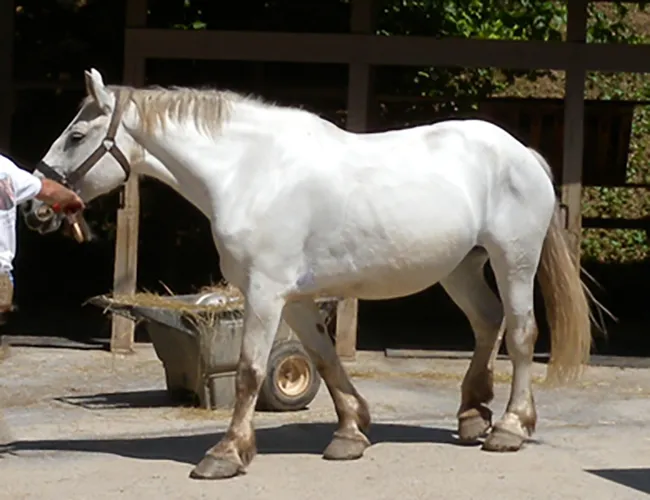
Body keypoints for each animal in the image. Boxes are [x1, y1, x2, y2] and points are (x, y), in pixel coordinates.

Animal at [22, 67, 592, 480]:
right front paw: (350, 433)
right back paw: (473, 416)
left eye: (76, 135)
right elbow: (324, 358)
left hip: (513, 260)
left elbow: (251, 371)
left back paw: (509, 428)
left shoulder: (265, 294)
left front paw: (226, 454)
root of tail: (523, 153)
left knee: (520, 333)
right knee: (487, 322)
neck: (249, 173)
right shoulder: (293, 299)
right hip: (460, 268)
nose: (36, 207)